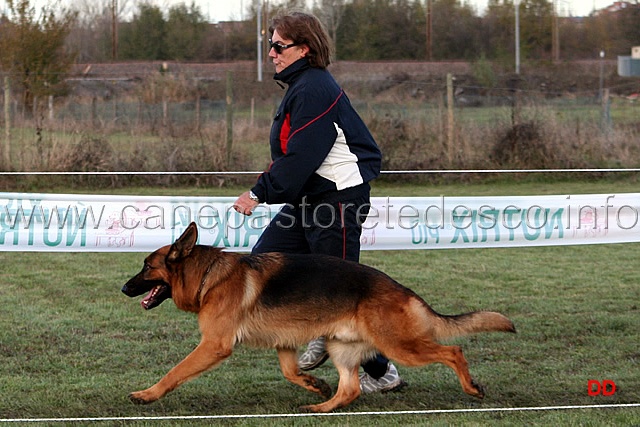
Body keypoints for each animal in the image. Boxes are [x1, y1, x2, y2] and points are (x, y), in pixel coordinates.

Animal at [121, 222, 516, 412]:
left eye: (147, 267)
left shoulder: (214, 345)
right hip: (341, 347)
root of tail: (402, 289)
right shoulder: (283, 343)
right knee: (350, 388)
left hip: (400, 345)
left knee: (453, 352)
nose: (124, 288)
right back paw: (321, 405)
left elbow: (175, 372)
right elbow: (290, 372)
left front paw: (147, 394)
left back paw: (471, 387)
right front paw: (313, 384)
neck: (207, 276)